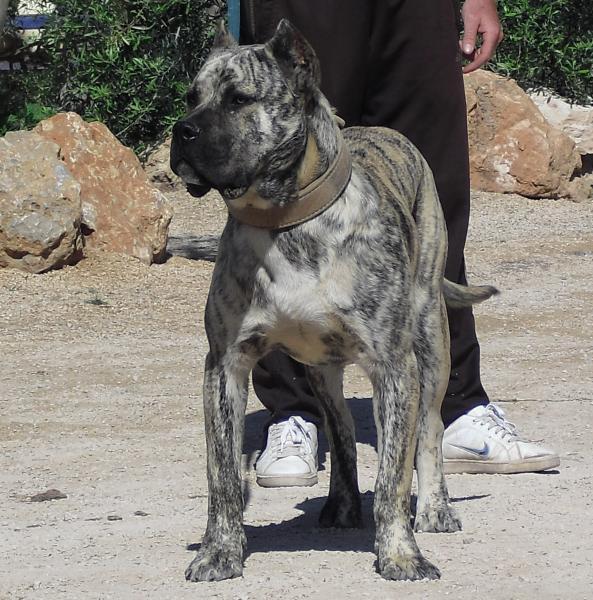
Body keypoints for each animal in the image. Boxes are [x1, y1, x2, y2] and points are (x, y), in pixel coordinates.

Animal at [169, 18, 498, 580]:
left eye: (238, 99)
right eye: (191, 98)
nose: (181, 131)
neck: (286, 223)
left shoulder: (394, 369)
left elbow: (393, 476)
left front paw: (401, 553)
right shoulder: (225, 368)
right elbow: (223, 476)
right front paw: (219, 551)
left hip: (431, 339)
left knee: (430, 430)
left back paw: (435, 508)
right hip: (320, 371)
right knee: (341, 431)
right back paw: (341, 504)